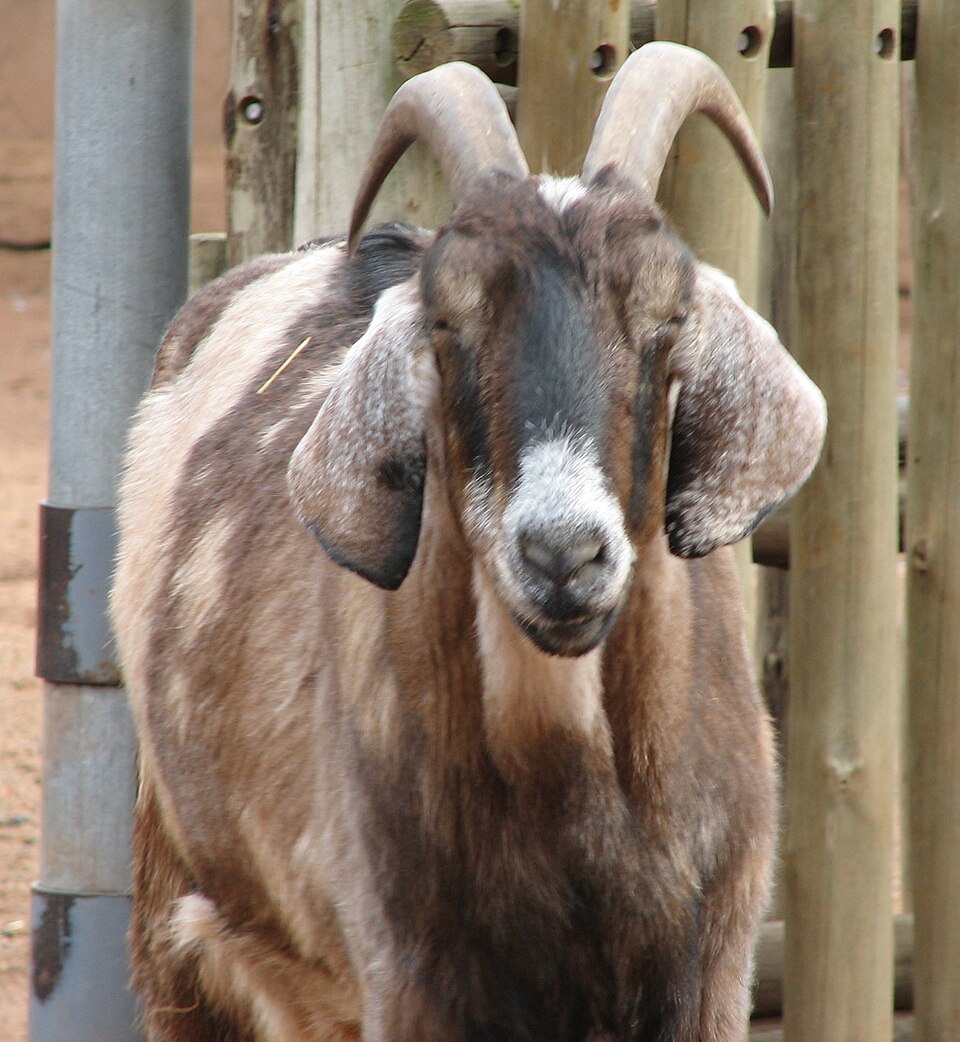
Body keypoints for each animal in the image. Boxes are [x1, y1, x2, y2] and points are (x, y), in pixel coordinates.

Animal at [112, 42, 826, 1042]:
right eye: (449, 323)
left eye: (668, 318)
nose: (562, 555)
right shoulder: (410, 978)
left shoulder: (711, 972)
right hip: (179, 924)